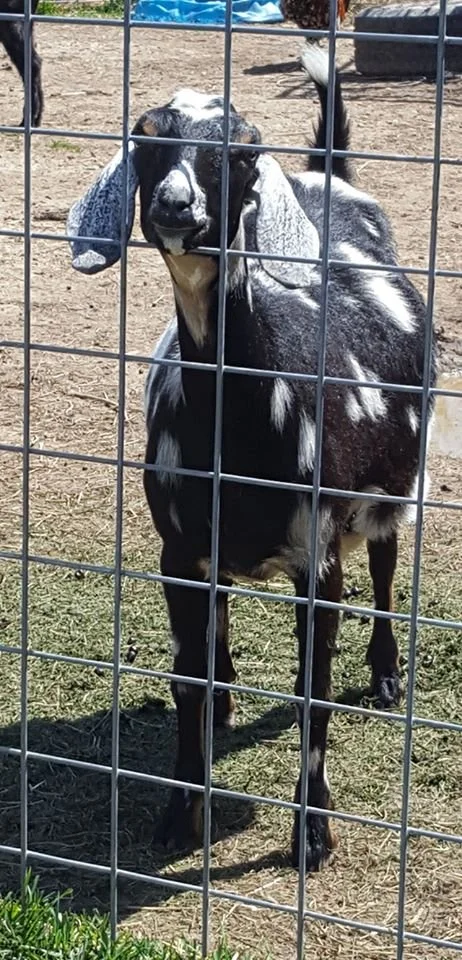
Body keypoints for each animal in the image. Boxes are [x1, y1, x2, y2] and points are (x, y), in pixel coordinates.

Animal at [66, 47, 436, 871]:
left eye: (239, 151)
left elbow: (313, 687)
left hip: (391, 490)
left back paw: (387, 674)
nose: (175, 206)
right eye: (146, 140)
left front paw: (313, 832)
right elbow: (186, 683)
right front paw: (180, 814)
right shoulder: (178, 550)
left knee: (386, 565)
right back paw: (233, 687)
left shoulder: (317, 555)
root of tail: (331, 180)